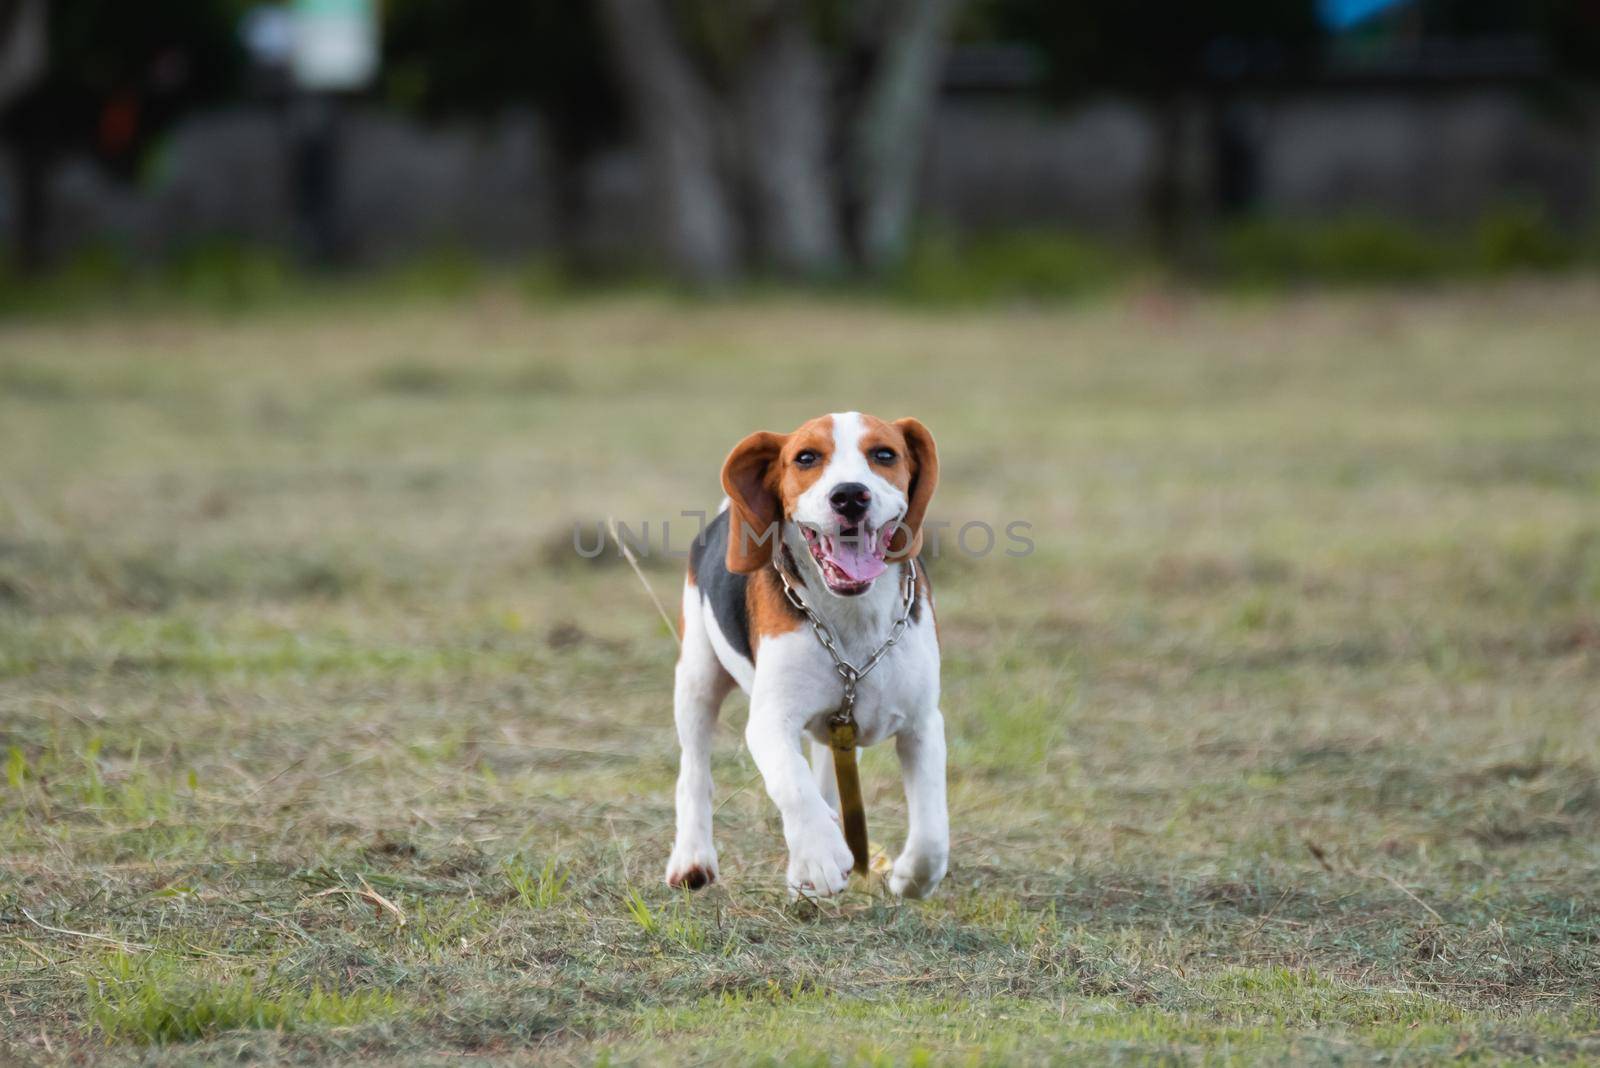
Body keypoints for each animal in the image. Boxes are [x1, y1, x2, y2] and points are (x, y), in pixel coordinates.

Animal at [665, 412, 947, 895]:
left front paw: (912, 878)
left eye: (884, 454)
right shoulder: (770, 720)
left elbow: (931, 831)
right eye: (806, 458)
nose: (850, 495)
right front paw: (818, 855)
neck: (853, 616)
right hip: (696, 679)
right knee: (695, 772)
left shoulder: (923, 723)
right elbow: (791, 783)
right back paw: (693, 857)